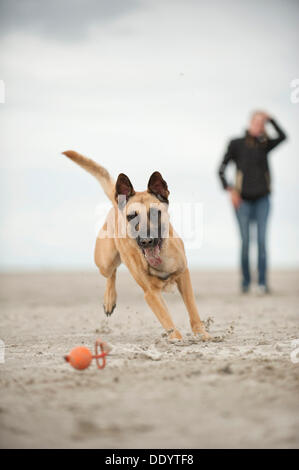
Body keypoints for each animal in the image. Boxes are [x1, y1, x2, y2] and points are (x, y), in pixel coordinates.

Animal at [61, 152, 211, 340]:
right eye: (132, 216)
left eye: (154, 213)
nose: (146, 241)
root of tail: (116, 202)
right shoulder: (151, 294)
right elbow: (167, 320)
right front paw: (177, 339)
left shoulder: (183, 276)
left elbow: (192, 310)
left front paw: (202, 334)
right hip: (105, 262)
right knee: (111, 273)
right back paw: (109, 298)